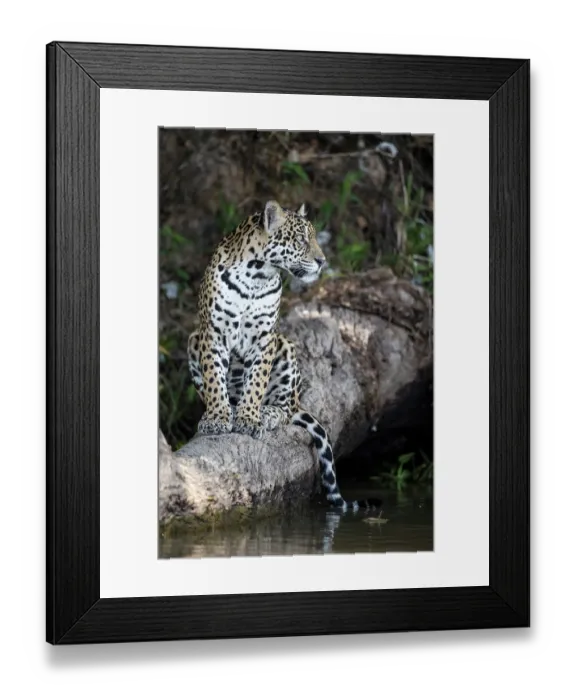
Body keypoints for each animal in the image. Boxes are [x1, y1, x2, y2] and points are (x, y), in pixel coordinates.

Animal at [187, 200, 380, 513]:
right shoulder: (212, 333)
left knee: (286, 408)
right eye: (301, 239)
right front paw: (216, 417)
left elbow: (256, 383)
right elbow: (214, 380)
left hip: (286, 347)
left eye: (314, 238)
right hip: (193, 339)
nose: (322, 261)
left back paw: (266, 413)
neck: (254, 276)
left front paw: (250, 418)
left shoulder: (265, 339)